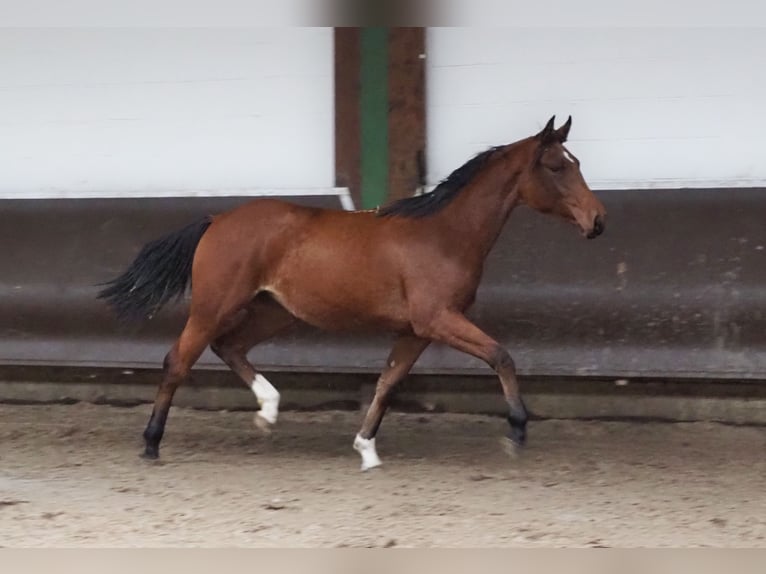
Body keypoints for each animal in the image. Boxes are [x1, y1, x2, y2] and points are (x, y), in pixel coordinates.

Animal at [99, 117, 608, 472]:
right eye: (557, 166)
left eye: (577, 163)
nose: (598, 221)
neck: (444, 234)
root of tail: (216, 220)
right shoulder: (438, 319)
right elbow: (501, 355)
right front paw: (517, 431)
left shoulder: (417, 330)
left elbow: (388, 381)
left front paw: (366, 449)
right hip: (214, 306)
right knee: (178, 360)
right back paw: (151, 443)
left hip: (276, 311)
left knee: (230, 346)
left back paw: (268, 411)